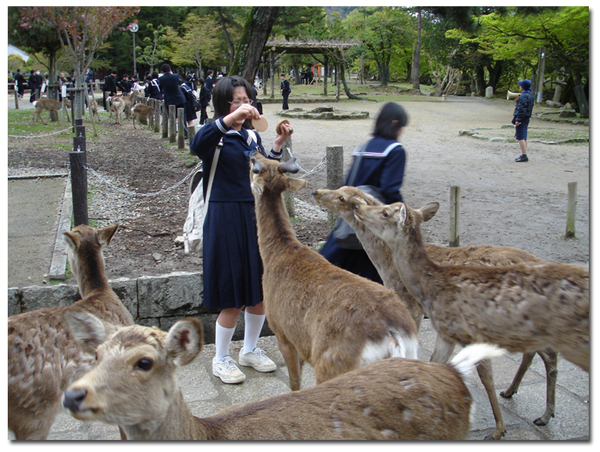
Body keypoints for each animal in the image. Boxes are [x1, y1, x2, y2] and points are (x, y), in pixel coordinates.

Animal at [248, 153, 418, 392]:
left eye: (256, 167)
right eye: (269, 160)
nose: (253, 153)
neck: (275, 255)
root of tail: (393, 337)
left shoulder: (281, 331)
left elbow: (295, 383)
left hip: (332, 365)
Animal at [314, 185, 556, 428]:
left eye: (342, 197)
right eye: (340, 189)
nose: (317, 192)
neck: (387, 266)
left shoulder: (412, 306)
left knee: (548, 353)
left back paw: (544, 414)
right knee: (535, 351)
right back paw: (511, 391)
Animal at [354, 200, 588, 438]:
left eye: (385, 211)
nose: (359, 208)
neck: (432, 288)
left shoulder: (472, 334)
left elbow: (486, 378)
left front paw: (499, 430)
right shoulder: (446, 335)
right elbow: (434, 363)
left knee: (550, 356)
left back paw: (545, 414)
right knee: (536, 353)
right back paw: (513, 392)